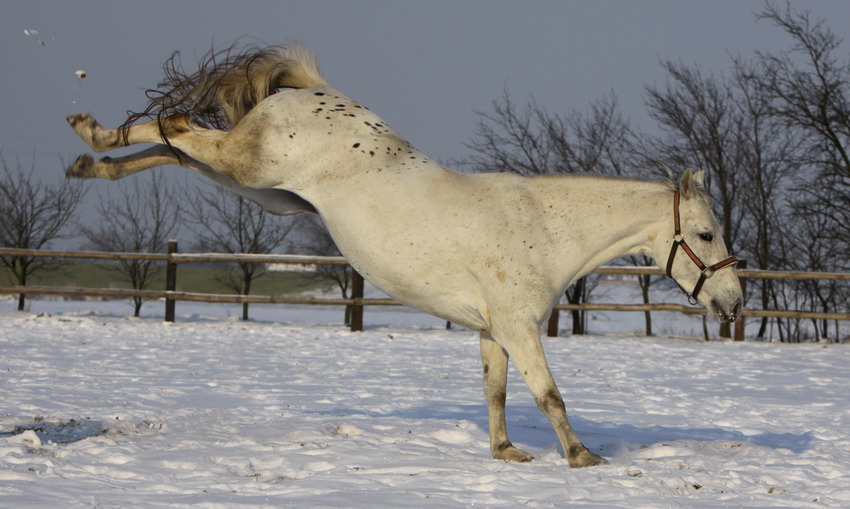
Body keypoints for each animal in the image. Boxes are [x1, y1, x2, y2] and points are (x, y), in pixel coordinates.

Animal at [68, 44, 744, 468]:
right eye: (708, 235)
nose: (734, 302)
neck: (541, 226)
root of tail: (315, 92)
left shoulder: (493, 332)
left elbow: (497, 393)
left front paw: (505, 453)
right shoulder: (521, 330)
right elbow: (549, 394)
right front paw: (581, 457)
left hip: (265, 193)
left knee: (171, 145)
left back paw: (89, 161)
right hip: (250, 166)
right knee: (177, 126)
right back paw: (88, 133)